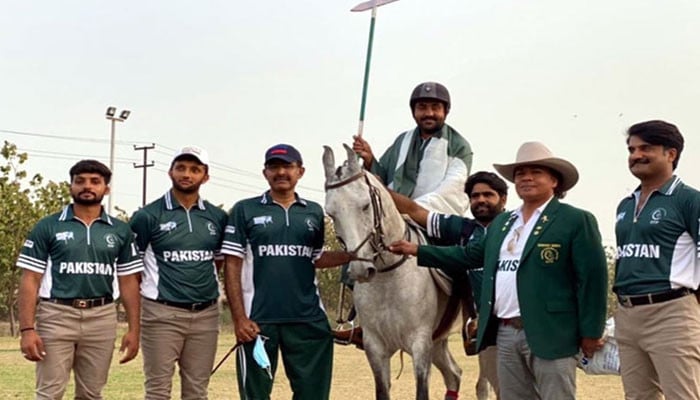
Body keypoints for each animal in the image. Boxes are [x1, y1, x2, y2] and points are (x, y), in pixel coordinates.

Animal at [324, 145, 464, 400]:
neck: (389, 277)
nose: (361, 269)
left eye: (365, 205)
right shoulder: (375, 347)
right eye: (331, 213)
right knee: (454, 374)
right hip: (439, 341)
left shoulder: (420, 343)